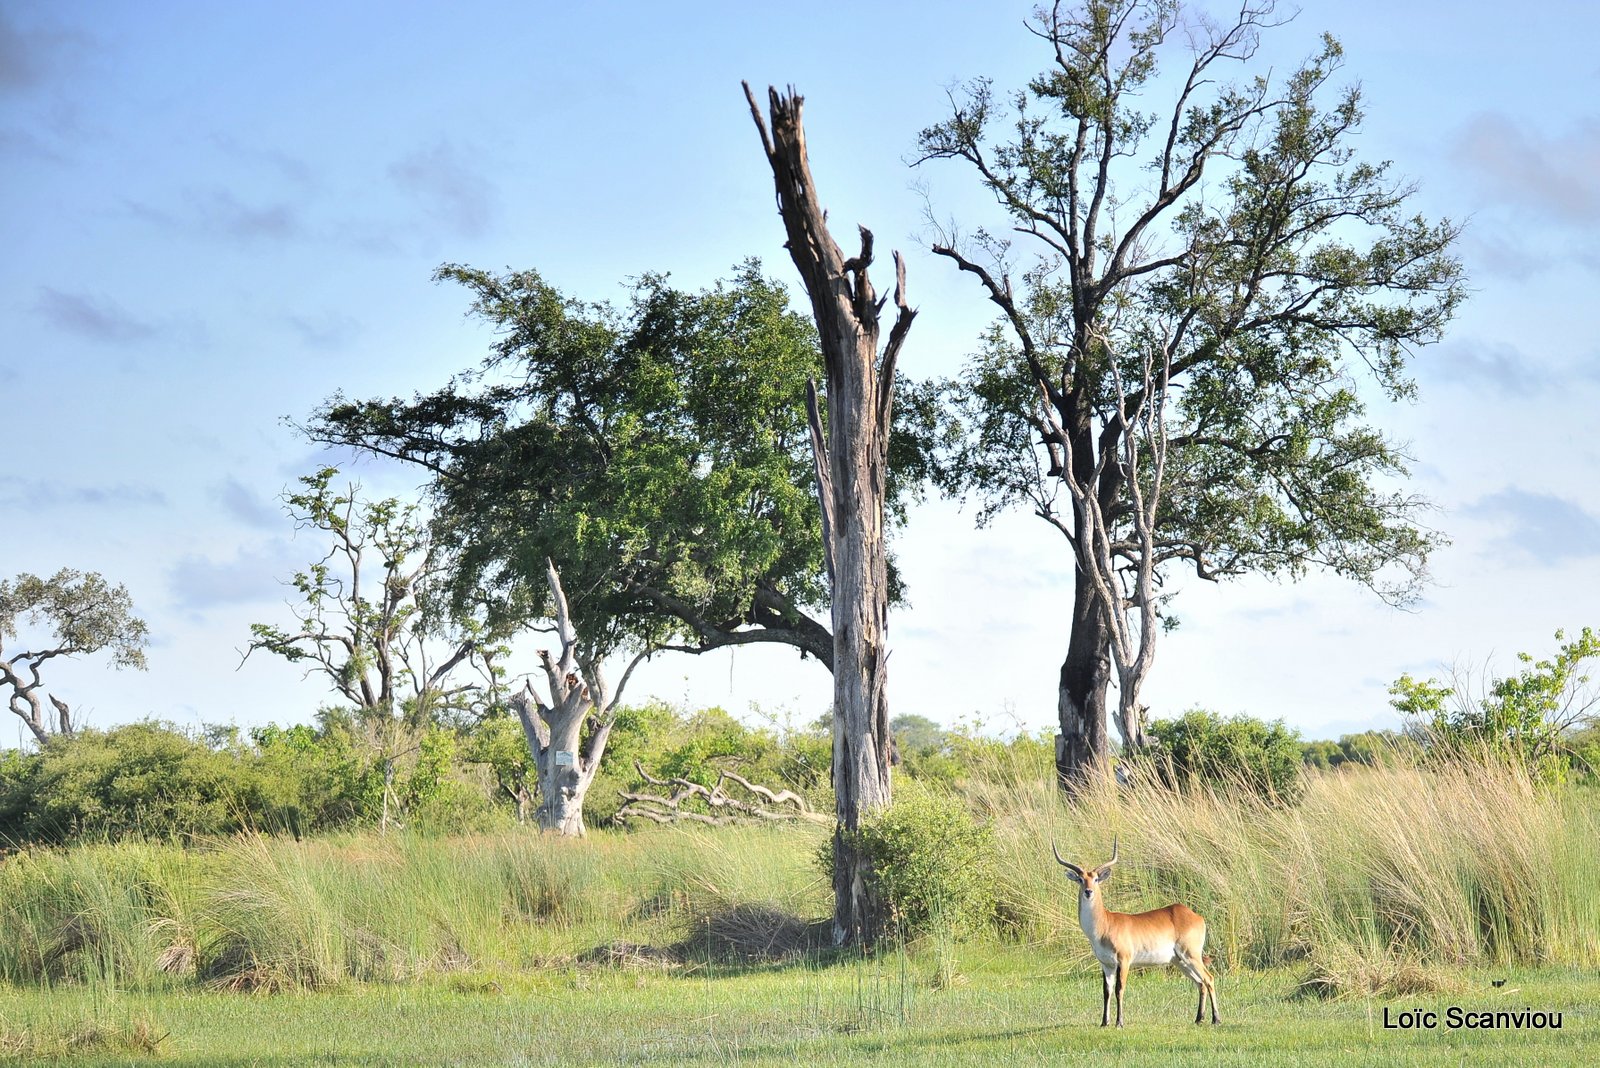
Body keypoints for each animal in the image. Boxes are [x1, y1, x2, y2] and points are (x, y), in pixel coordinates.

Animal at [1056, 837, 1216, 1029]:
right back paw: (1199, 1019)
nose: (1088, 892)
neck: (1105, 924)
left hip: (1191, 955)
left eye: (1095, 879)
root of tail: (1194, 915)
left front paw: (1119, 1022)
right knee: (1200, 983)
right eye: (1080, 879)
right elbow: (1106, 991)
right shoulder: (1106, 964)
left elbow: (1120, 989)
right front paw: (1104, 1022)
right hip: (1180, 961)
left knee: (1209, 978)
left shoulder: (1124, 960)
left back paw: (1216, 1019)